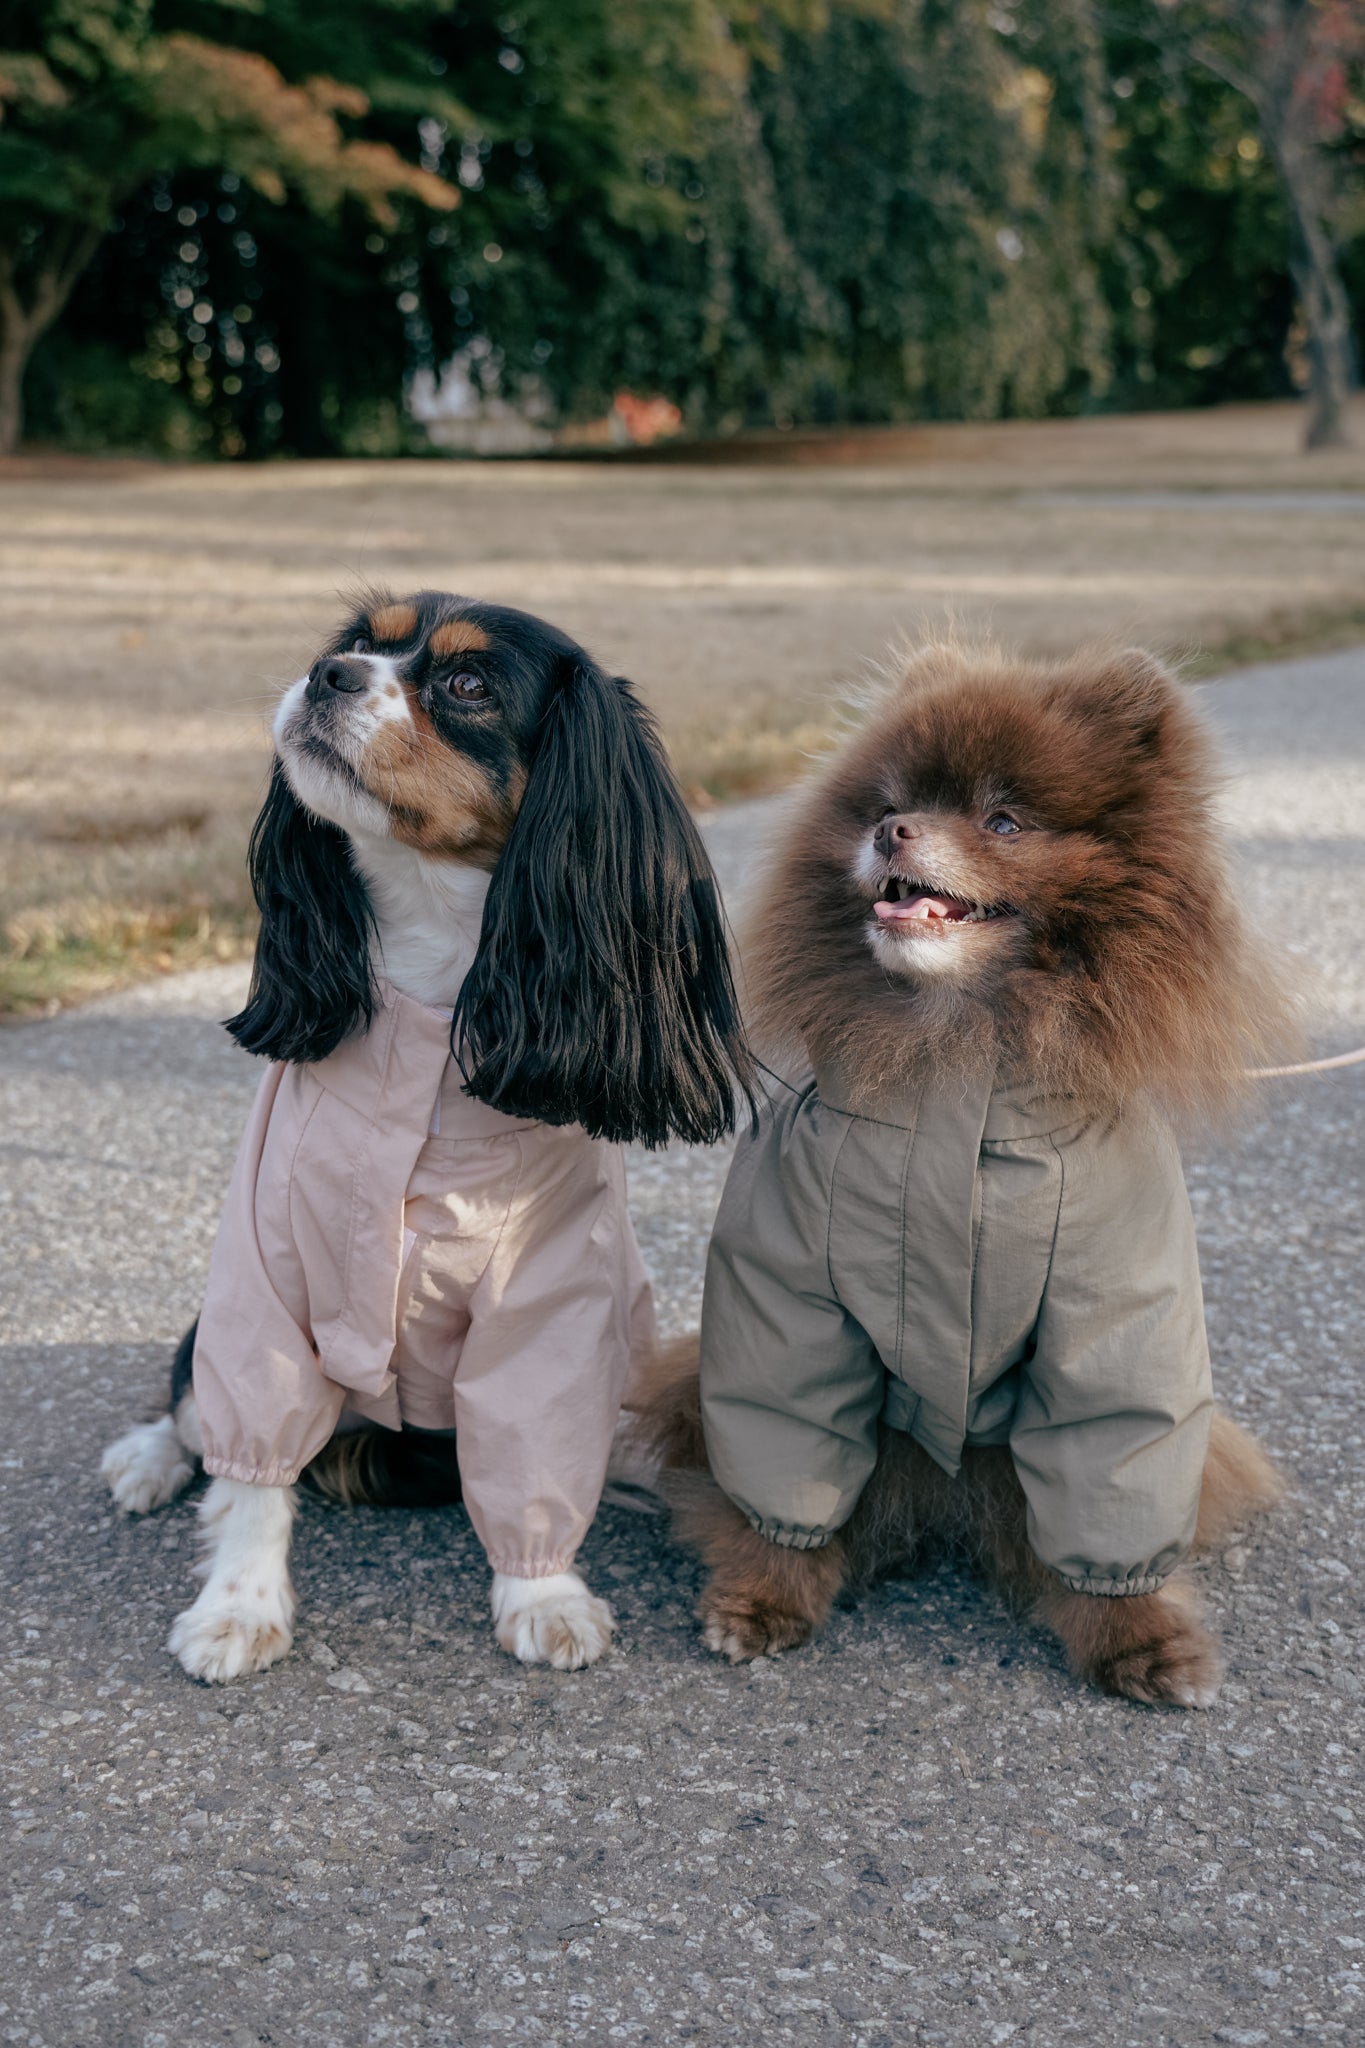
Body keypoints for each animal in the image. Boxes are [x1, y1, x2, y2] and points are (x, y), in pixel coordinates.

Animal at [642, 643, 1293, 1712]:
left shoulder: (1110, 1322)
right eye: (888, 804)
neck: (957, 1062)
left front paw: (1140, 1637)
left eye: (1003, 821)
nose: (891, 832)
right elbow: (785, 1461)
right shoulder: (789, 1314)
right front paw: (765, 1595)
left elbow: (1112, 1475)